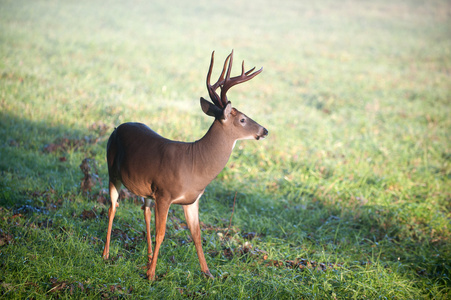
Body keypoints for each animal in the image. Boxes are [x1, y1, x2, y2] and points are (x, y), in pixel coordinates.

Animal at [102, 50, 268, 280]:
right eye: (243, 119)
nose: (264, 130)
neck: (196, 165)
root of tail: (117, 127)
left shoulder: (192, 200)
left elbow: (197, 235)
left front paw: (208, 273)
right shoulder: (164, 194)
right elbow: (162, 233)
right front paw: (152, 275)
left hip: (146, 188)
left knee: (144, 211)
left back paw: (147, 259)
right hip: (113, 172)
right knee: (112, 206)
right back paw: (107, 255)